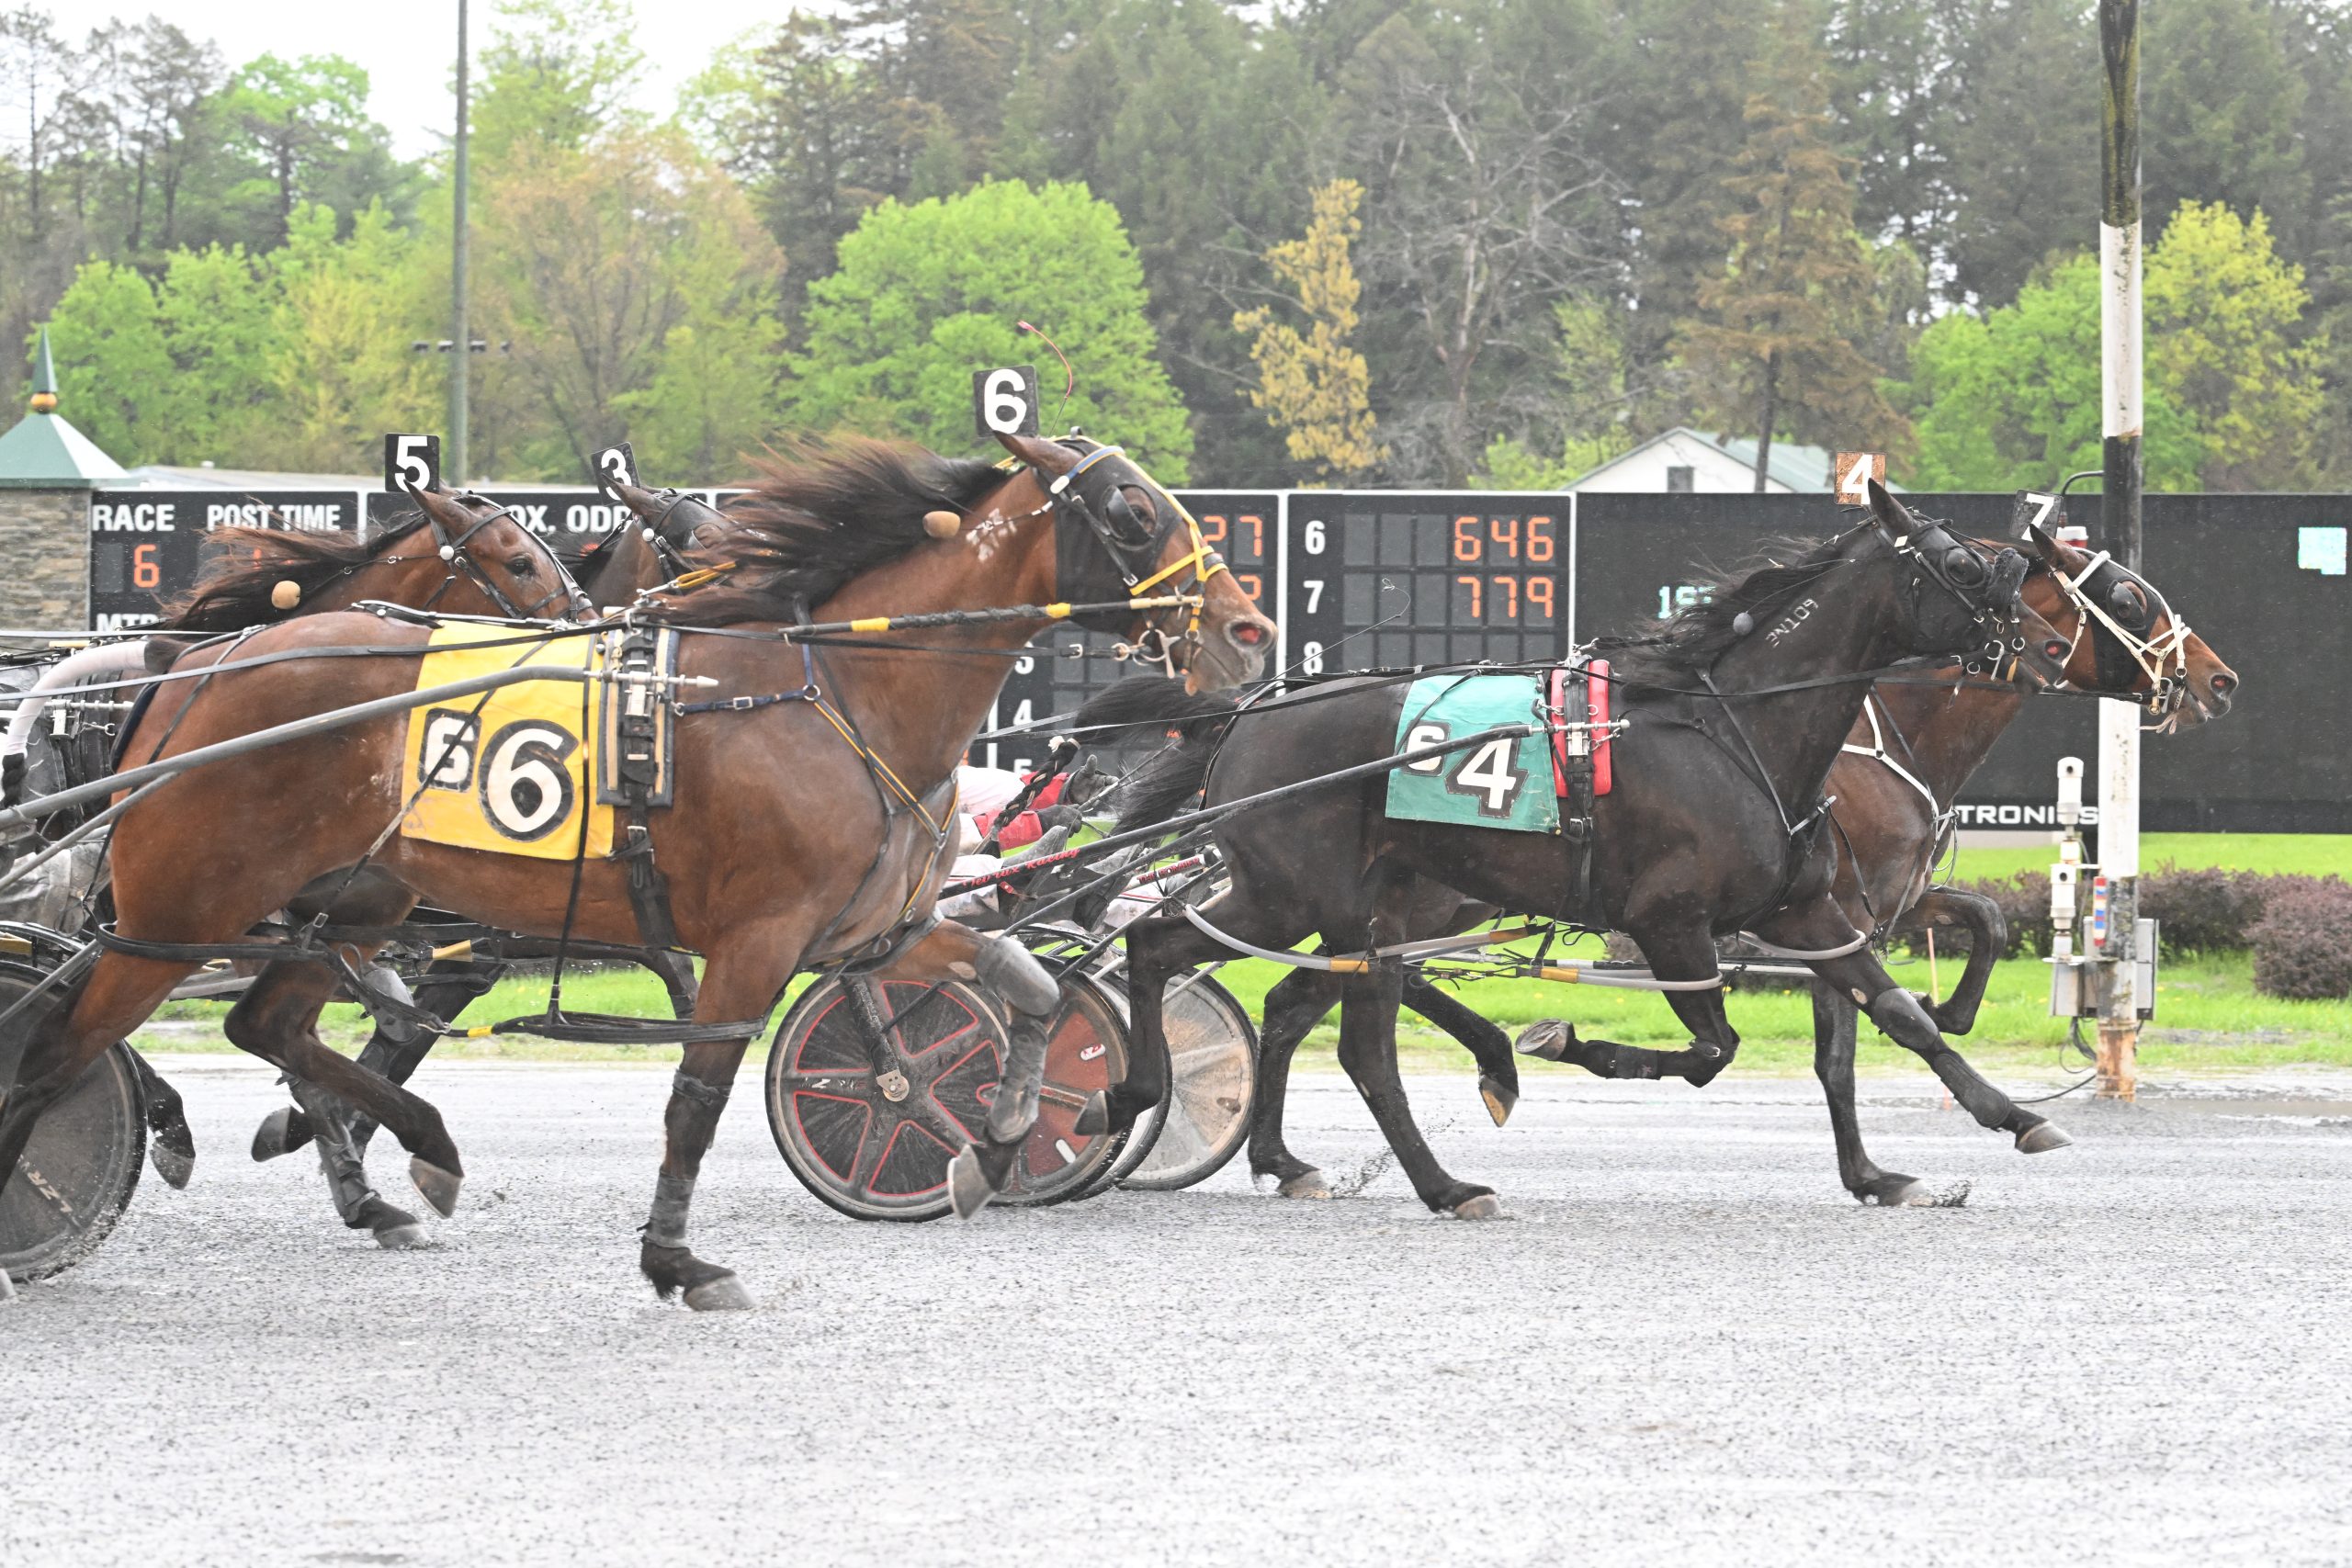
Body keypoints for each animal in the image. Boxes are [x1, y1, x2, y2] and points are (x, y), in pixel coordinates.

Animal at [0, 431, 1275, 1307]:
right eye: (1131, 508)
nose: (1248, 631)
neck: (830, 692)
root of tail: (198, 673)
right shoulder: (753, 943)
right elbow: (697, 1101)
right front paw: (677, 1258)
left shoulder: (875, 930)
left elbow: (1027, 984)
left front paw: (999, 1131)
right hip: (182, 908)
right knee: (62, 1044)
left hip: (350, 899)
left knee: (266, 1023)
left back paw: (422, 1151)